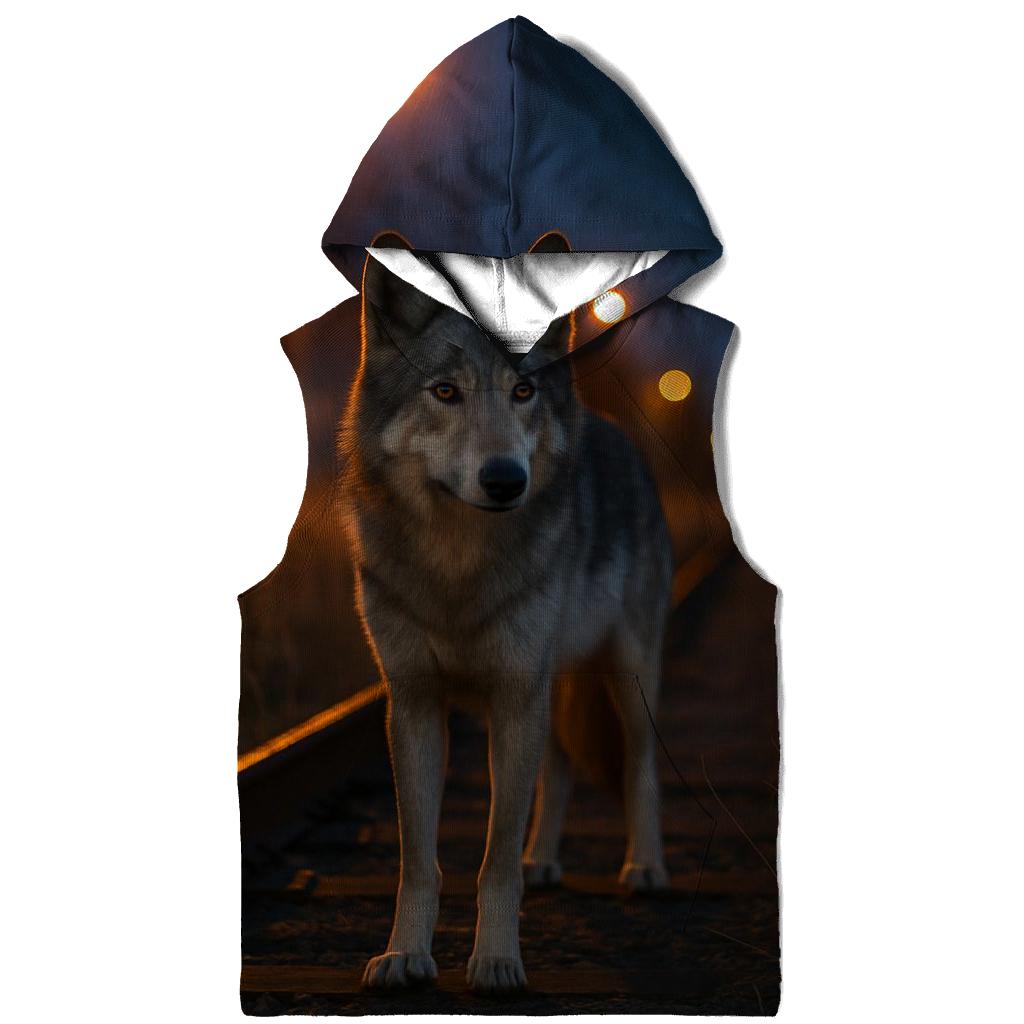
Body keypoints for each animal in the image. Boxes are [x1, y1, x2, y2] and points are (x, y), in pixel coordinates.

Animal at [337, 255, 674, 993]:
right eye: (445, 392)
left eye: (523, 391)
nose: (504, 480)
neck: (457, 569)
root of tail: (613, 429)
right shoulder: (415, 704)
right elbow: (419, 860)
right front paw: (404, 956)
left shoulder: (516, 695)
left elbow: (490, 862)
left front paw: (495, 962)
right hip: (551, 691)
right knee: (561, 768)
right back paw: (540, 860)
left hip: (626, 679)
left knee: (638, 765)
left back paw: (644, 868)